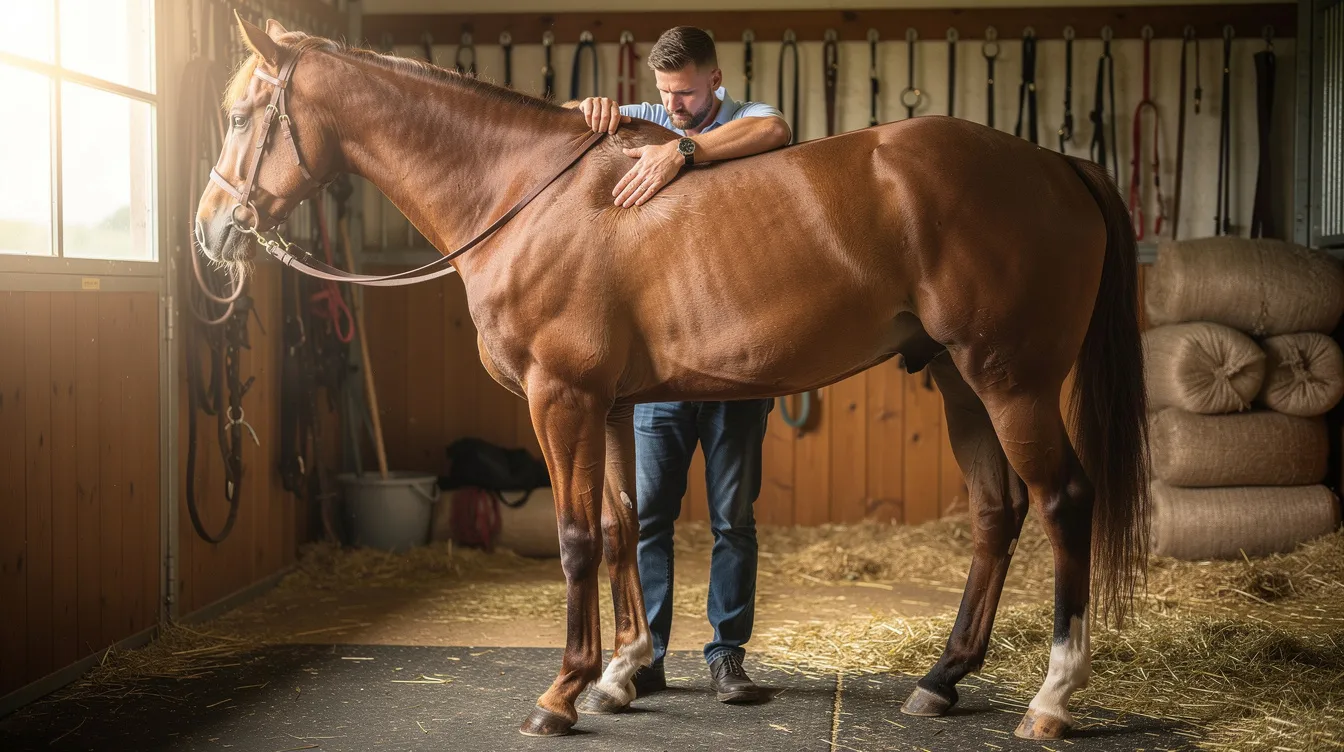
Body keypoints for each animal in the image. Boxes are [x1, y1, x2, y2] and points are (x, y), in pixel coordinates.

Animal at [194, 15, 1150, 741]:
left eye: (241, 115)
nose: (210, 234)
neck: (526, 196)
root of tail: (1057, 164)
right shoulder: (611, 406)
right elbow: (623, 527)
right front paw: (622, 671)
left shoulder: (561, 398)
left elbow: (576, 537)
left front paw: (561, 692)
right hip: (958, 380)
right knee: (998, 512)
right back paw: (942, 678)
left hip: (1010, 380)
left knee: (1063, 500)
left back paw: (1052, 698)